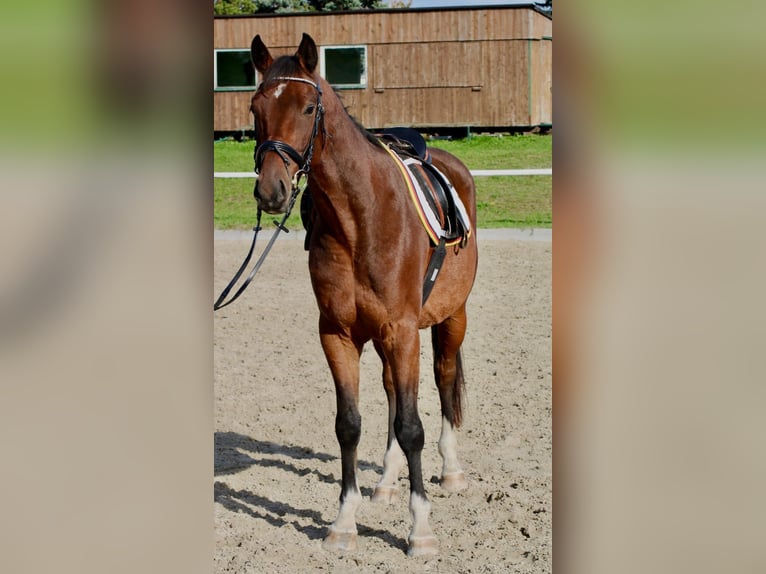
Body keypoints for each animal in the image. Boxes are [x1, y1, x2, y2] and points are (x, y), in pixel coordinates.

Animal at [248, 33, 478, 557]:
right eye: (255, 108)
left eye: (309, 107)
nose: (271, 191)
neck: (360, 217)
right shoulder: (338, 333)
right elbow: (349, 424)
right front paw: (344, 521)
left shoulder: (404, 331)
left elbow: (412, 426)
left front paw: (421, 530)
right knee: (393, 392)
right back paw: (387, 482)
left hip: (450, 318)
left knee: (443, 379)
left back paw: (451, 470)